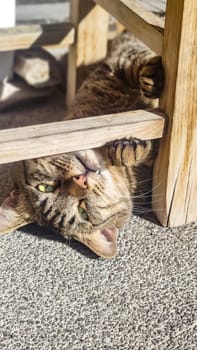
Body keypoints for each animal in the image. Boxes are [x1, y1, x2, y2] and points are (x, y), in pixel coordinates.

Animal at [0, 33, 163, 258]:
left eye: (45, 187)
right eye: (83, 211)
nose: (82, 180)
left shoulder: (111, 69)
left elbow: (132, 61)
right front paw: (130, 150)